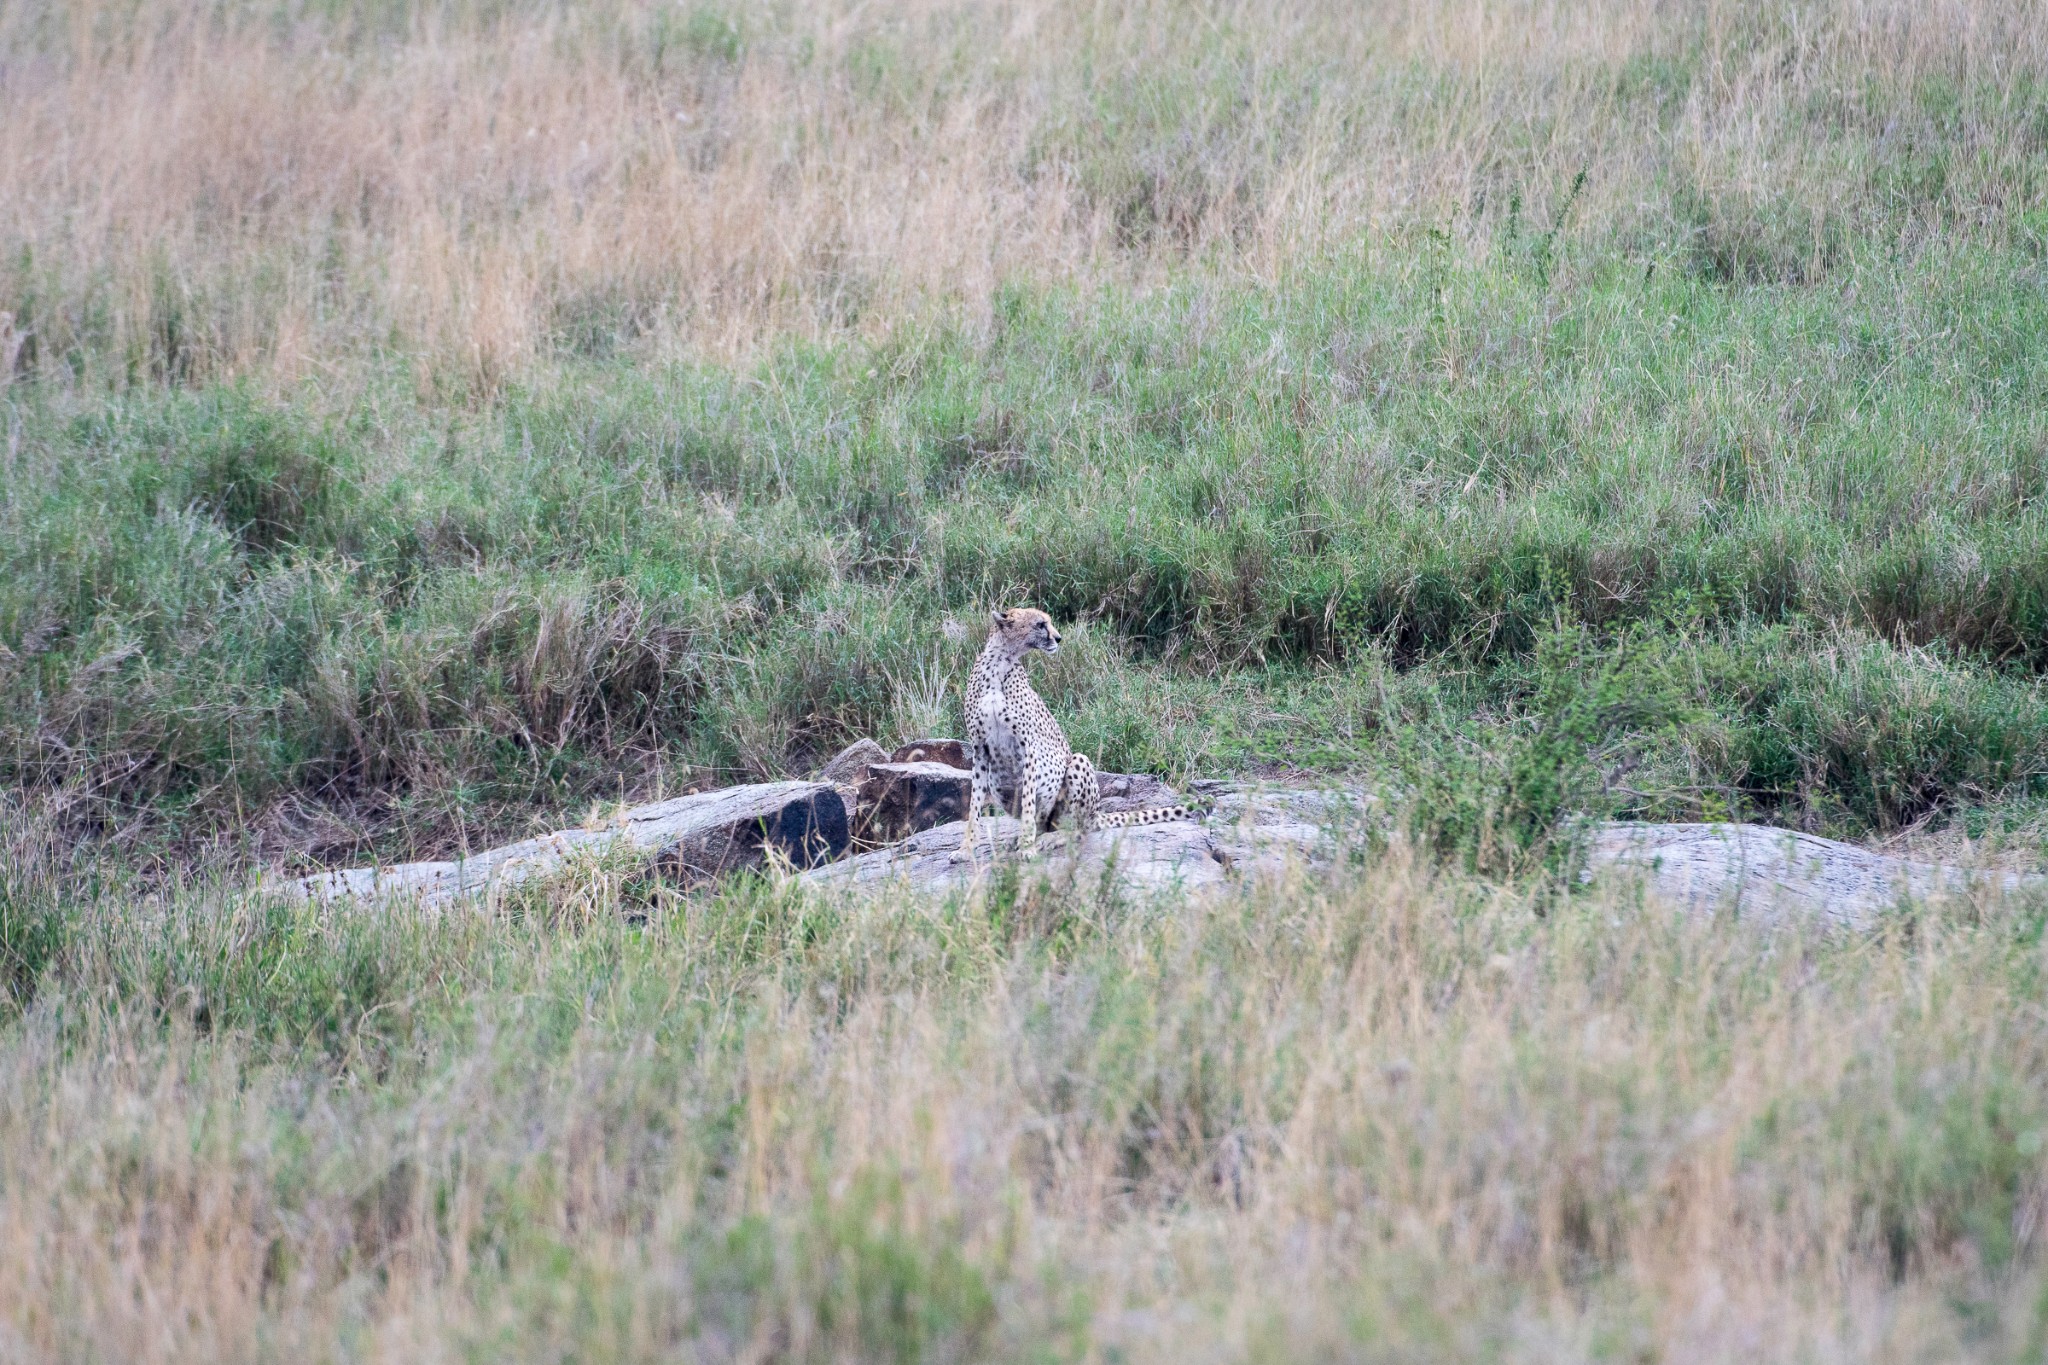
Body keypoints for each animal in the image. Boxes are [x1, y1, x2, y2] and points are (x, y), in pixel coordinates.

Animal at [962, 601, 1196, 859]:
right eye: (1040, 624)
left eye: (1048, 622)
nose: (1059, 638)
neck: (1000, 663)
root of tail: (1095, 814)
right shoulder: (980, 749)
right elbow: (974, 804)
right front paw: (966, 848)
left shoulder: (1029, 748)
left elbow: (1028, 803)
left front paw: (1027, 848)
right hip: (1000, 784)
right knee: (1044, 823)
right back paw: (1023, 839)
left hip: (1078, 763)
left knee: (1076, 830)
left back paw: (1049, 839)